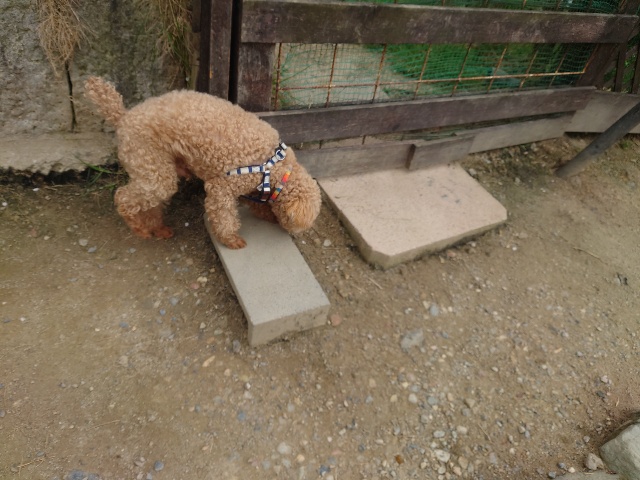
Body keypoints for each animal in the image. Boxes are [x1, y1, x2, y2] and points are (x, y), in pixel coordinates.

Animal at [84, 76, 321, 249]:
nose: (296, 235)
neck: (277, 168)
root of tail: (123, 116)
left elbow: (256, 202)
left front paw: (265, 214)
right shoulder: (222, 187)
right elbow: (224, 216)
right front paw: (231, 240)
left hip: (154, 168)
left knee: (150, 204)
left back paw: (158, 228)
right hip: (152, 168)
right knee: (124, 198)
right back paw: (139, 229)